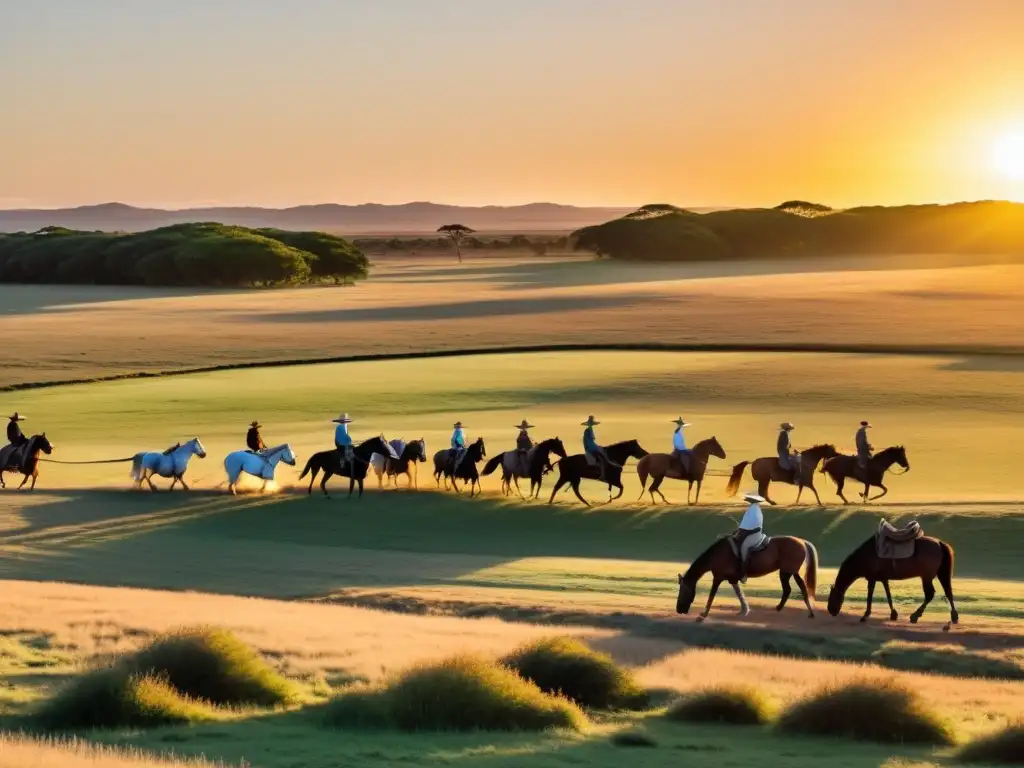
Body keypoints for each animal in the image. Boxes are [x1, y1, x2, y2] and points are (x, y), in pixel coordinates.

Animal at [675, 536, 819, 622]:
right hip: (785, 573)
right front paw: (744, 610)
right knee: (787, 590)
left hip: (793, 572)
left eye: (682, 591)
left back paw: (811, 613)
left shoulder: (717, 578)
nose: (679, 610)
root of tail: (802, 541)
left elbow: (711, 597)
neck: (716, 555)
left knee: (803, 588)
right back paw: (778, 608)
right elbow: (739, 593)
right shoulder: (732, 579)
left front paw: (703, 615)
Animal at [823, 536, 958, 630]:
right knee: (948, 592)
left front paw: (865, 615)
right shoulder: (883, 578)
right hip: (939, 575)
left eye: (832, 596)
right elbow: (888, 595)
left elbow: (870, 595)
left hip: (926, 577)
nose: (831, 610)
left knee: (930, 594)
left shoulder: (872, 578)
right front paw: (893, 614)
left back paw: (915, 616)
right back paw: (954, 617)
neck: (867, 554)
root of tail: (939, 543)